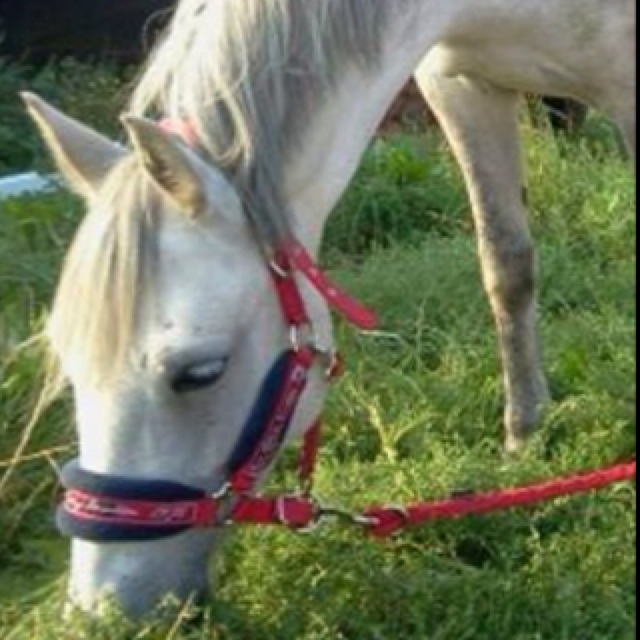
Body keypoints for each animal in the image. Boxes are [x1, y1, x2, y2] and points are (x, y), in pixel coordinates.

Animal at [23, 0, 635, 618]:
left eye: (200, 372)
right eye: (71, 365)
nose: (103, 607)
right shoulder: (460, 84)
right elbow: (506, 266)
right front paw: (523, 441)